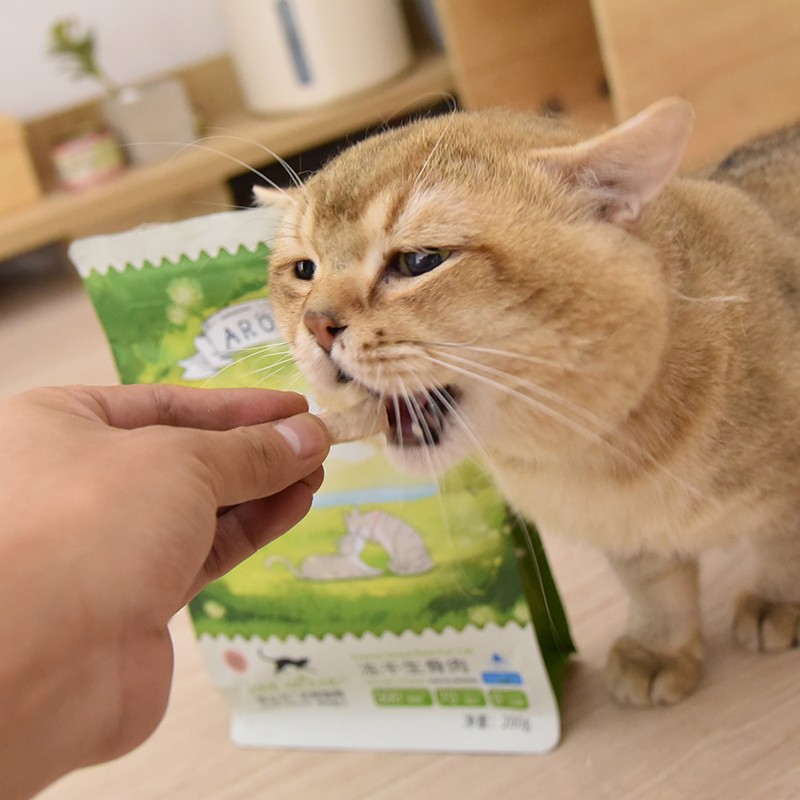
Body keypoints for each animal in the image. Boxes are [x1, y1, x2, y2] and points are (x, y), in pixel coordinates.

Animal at [255, 100, 800, 708]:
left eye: (420, 261)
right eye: (304, 270)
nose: (316, 325)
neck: (600, 455)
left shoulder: (786, 492)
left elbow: (782, 544)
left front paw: (779, 600)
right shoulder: (628, 539)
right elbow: (656, 591)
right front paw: (658, 649)